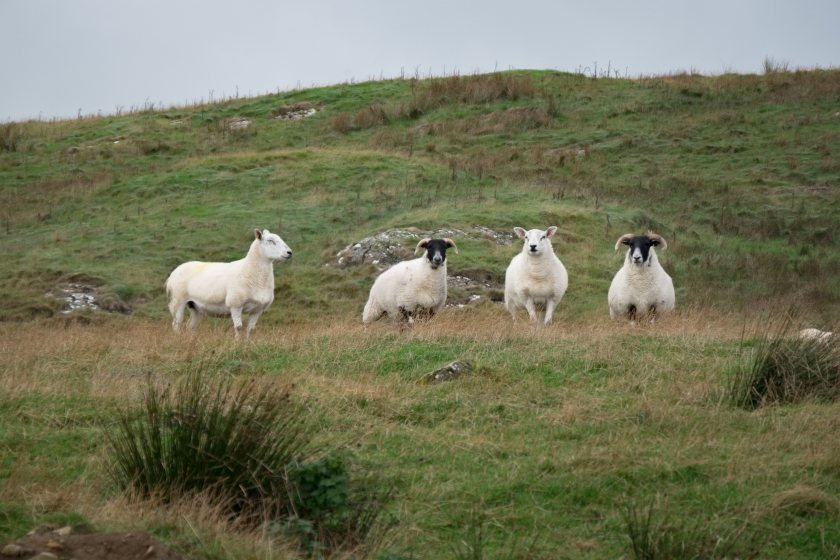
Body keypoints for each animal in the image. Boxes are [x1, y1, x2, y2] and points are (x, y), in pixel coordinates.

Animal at [166, 230, 294, 340]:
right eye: (270, 240)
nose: (289, 253)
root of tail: (174, 273)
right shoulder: (235, 305)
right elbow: (239, 327)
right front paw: (237, 344)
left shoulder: (258, 309)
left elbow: (251, 329)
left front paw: (247, 344)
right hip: (178, 300)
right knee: (176, 324)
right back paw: (178, 339)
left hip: (195, 306)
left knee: (190, 326)